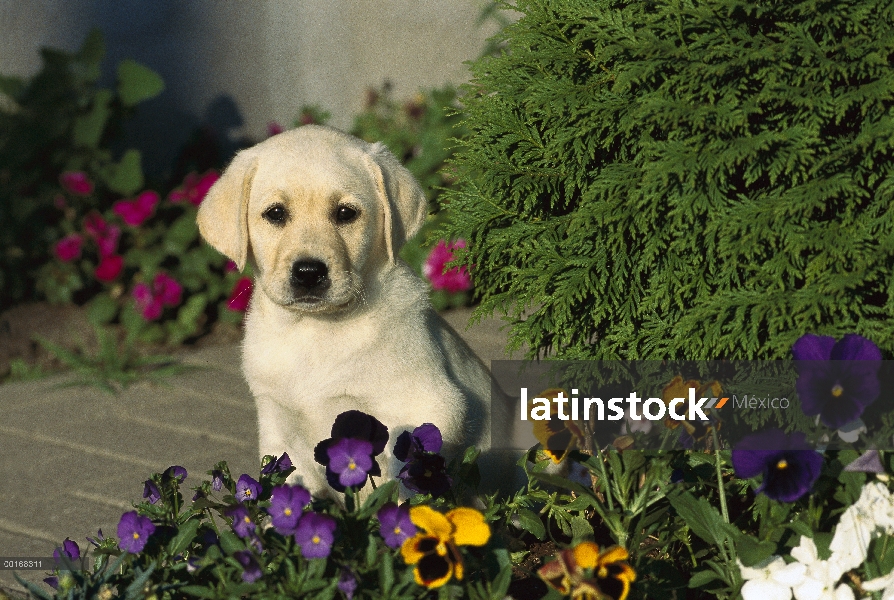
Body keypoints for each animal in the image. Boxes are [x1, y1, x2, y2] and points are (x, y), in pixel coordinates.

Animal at [197, 124, 496, 500]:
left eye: (345, 214)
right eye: (276, 214)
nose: (308, 273)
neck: (316, 330)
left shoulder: (430, 409)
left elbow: (400, 491)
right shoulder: (278, 427)